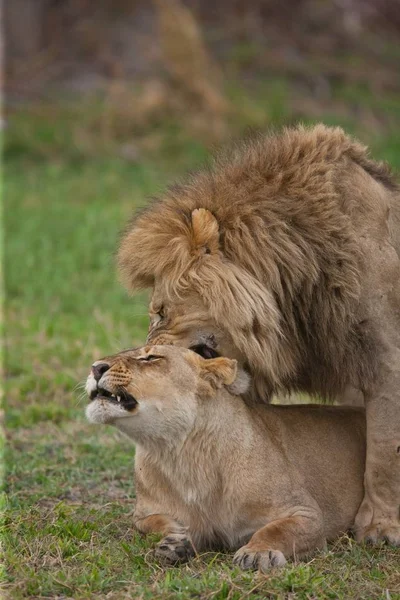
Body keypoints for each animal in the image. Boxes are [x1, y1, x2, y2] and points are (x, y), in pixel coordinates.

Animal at [86, 344, 368, 568]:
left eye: (151, 357)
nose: (95, 367)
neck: (179, 452)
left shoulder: (306, 513)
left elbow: (277, 530)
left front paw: (258, 554)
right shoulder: (145, 513)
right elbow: (153, 524)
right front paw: (174, 542)